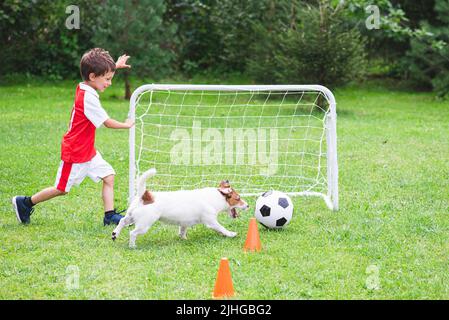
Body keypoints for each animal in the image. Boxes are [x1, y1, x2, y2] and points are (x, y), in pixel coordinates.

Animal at [110, 169, 247, 249]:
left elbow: (182, 231)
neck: (215, 197)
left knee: (122, 221)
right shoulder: (211, 221)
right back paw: (132, 245)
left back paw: (115, 234)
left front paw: (184, 239)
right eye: (238, 198)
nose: (248, 205)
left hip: (131, 216)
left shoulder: (184, 222)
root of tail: (146, 195)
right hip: (144, 224)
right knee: (132, 233)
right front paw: (231, 234)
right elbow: (222, 228)